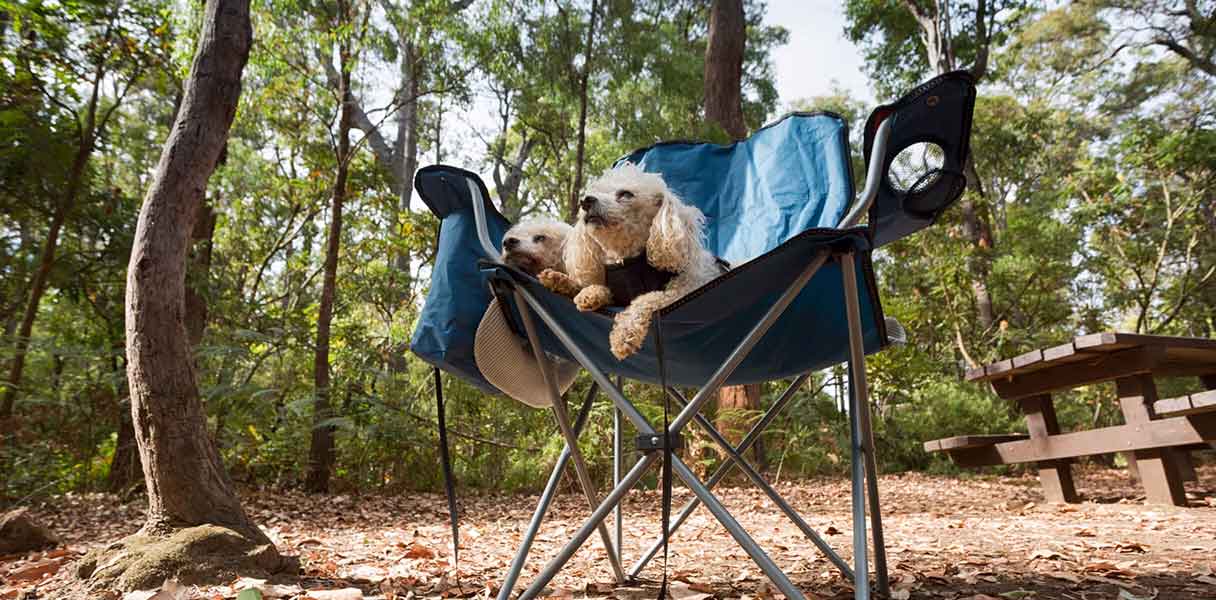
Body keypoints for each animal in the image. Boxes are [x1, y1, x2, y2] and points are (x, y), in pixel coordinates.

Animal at [542, 161, 719, 357]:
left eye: (626, 194)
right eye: (595, 191)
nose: (585, 201)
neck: (626, 263)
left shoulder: (683, 289)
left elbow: (647, 298)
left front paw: (625, 333)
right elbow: (596, 287)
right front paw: (569, 284)